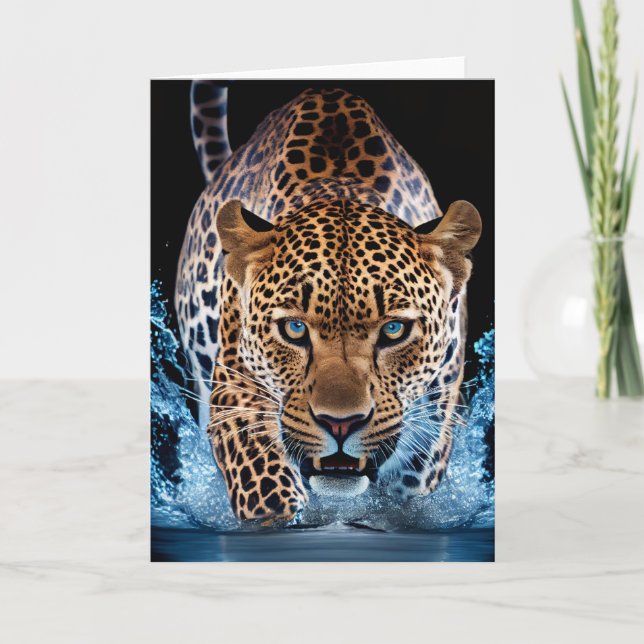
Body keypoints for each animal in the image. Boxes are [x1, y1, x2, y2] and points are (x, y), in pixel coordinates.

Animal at [174, 82, 482, 523]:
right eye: (294, 328)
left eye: (394, 329)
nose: (340, 424)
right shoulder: (236, 382)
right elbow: (263, 481)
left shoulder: (433, 423)